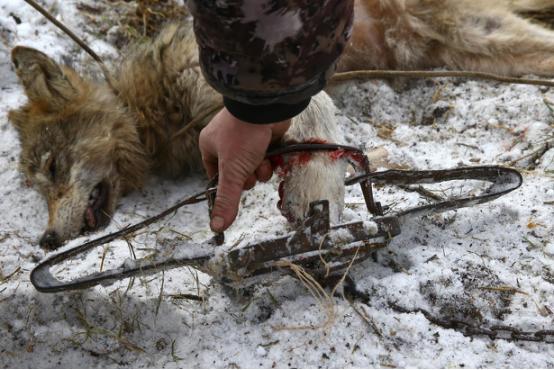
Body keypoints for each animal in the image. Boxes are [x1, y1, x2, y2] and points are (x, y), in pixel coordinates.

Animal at [9, 0, 554, 250]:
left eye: (53, 168)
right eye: (37, 186)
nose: (46, 241)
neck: (152, 111)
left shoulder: (250, 84)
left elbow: (315, 118)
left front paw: (318, 185)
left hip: (477, 35)